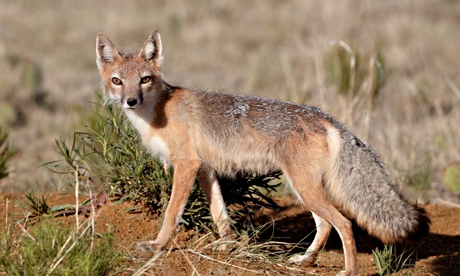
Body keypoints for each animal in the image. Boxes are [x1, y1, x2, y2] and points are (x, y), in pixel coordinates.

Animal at [97, 30, 432, 276]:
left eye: (144, 79)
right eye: (117, 81)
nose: (130, 101)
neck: (158, 112)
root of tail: (327, 118)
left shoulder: (186, 165)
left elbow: (171, 213)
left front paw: (157, 245)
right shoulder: (205, 169)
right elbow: (219, 213)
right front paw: (227, 246)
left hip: (304, 188)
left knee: (344, 223)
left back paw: (348, 271)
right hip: (304, 189)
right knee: (325, 225)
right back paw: (305, 261)